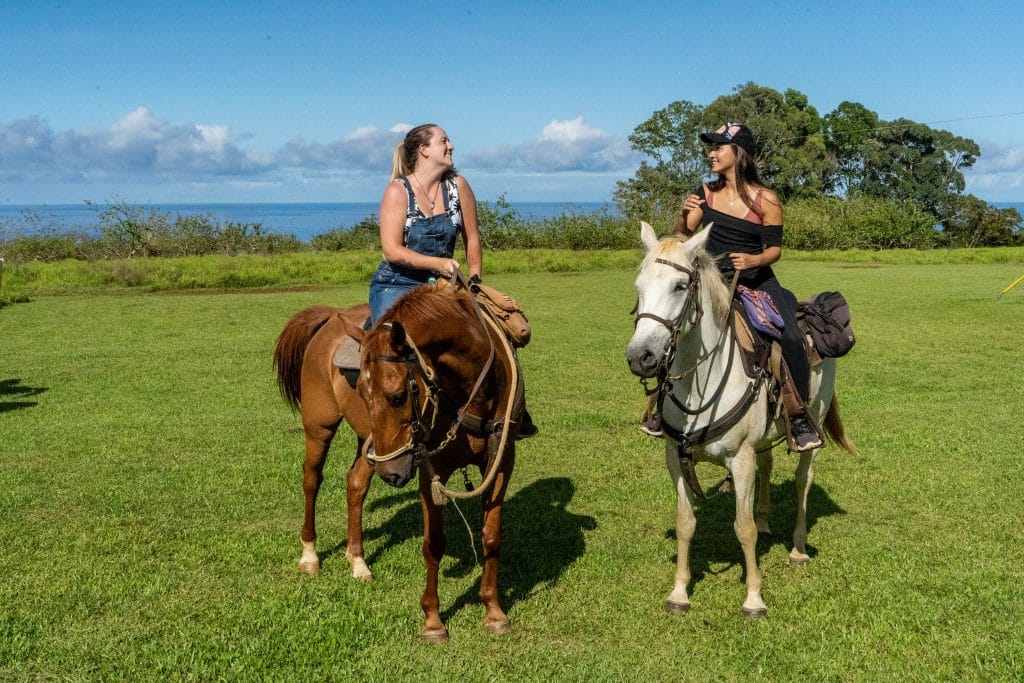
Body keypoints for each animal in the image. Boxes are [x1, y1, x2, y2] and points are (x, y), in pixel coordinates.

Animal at [274, 284, 520, 647]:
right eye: (361, 390)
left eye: (398, 396)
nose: (392, 475)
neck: (472, 391)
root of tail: (330, 318)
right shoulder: (431, 468)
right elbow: (434, 544)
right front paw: (433, 621)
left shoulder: (502, 461)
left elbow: (492, 536)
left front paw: (494, 611)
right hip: (320, 426)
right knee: (311, 480)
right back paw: (310, 555)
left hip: (370, 444)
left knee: (356, 484)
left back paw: (358, 560)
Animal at [622, 222, 856, 618]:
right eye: (638, 287)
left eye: (680, 286)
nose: (641, 356)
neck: (703, 381)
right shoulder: (675, 458)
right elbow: (686, 523)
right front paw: (679, 593)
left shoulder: (740, 458)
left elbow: (742, 528)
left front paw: (754, 598)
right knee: (769, 463)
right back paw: (765, 520)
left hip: (817, 416)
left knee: (802, 480)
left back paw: (798, 548)